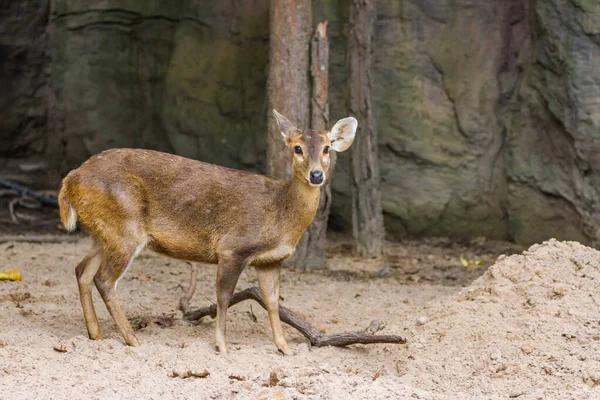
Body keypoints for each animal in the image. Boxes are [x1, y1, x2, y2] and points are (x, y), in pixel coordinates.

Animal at [57, 109, 356, 354]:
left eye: (327, 148)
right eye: (297, 148)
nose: (316, 175)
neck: (280, 215)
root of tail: (70, 179)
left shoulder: (270, 261)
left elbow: (273, 302)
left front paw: (285, 348)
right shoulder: (232, 248)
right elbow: (223, 297)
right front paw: (222, 345)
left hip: (102, 232)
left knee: (82, 270)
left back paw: (95, 333)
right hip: (124, 229)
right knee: (104, 279)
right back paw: (131, 338)